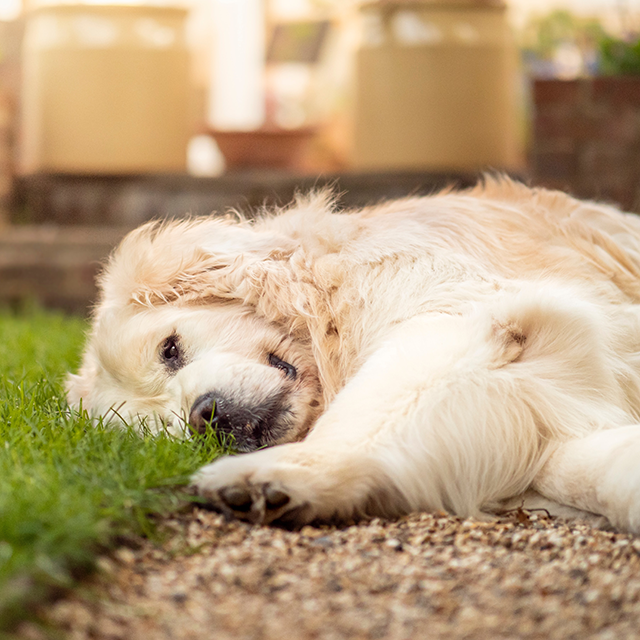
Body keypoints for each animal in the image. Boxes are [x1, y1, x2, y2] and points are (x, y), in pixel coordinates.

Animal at [66, 178, 640, 532]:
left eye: (170, 349)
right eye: (161, 432)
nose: (206, 418)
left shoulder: (467, 320)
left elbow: (366, 416)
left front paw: (284, 473)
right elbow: (584, 470)